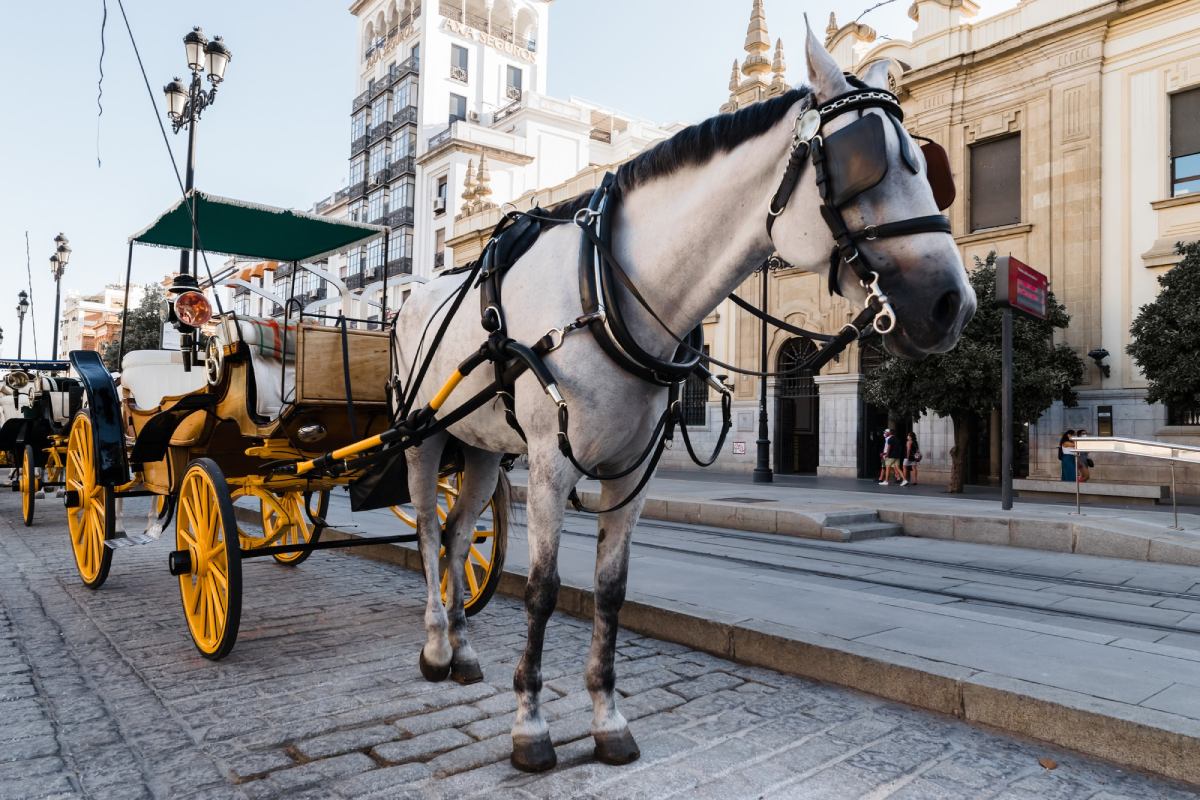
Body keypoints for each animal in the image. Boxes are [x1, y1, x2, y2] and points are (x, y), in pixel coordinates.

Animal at [393, 27, 976, 772]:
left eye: (927, 165)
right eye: (863, 163)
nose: (951, 304)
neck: (604, 285)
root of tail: (417, 292)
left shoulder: (632, 470)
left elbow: (611, 591)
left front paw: (607, 718)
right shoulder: (550, 466)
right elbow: (543, 591)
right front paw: (531, 726)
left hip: (483, 448)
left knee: (462, 534)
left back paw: (463, 650)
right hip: (425, 436)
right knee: (430, 535)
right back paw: (437, 644)